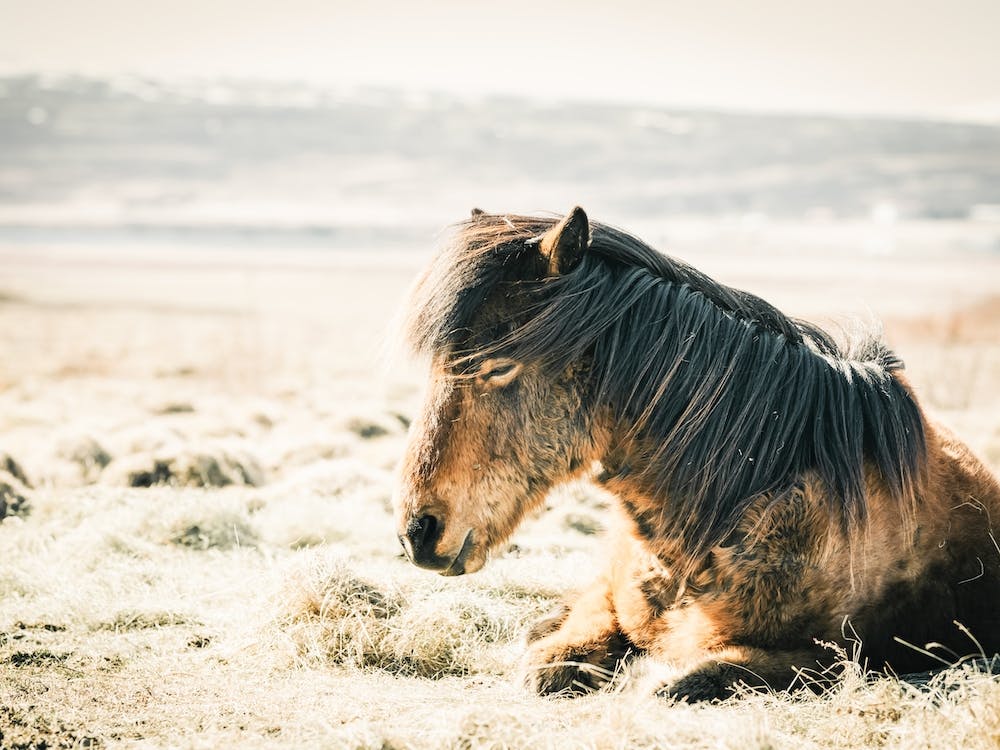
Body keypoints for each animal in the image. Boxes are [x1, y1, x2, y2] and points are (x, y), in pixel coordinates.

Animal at [394, 207, 1000, 700]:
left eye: (498, 365)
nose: (418, 532)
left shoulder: (841, 658)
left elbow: (694, 677)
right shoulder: (609, 601)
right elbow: (552, 659)